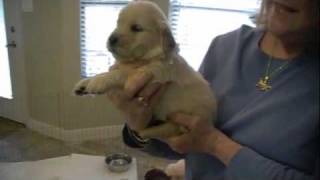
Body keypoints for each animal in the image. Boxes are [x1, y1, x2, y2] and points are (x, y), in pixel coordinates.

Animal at [74, 0, 216, 139]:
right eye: (118, 23)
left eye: (136, 28)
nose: (111, 39)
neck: (143, 58)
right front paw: (84, 83)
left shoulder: (153, 73)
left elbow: (119, 73)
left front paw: (99, 81)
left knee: (171, 128)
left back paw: (145, 132)